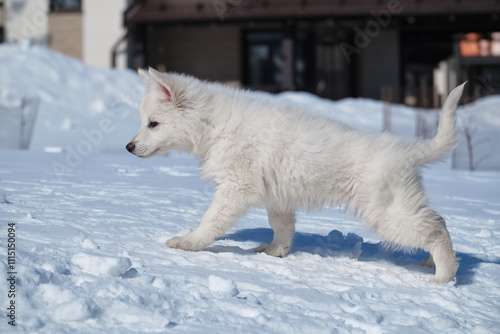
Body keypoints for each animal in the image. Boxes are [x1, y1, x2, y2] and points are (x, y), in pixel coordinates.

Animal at [127, 68, 462, 284]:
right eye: (144, 122)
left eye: (153, 123)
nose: (129, 147)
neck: (213, 125)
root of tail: (408, 153)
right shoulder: (277, 195)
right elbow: (282, 227)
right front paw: (275, 252)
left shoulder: (236, 187)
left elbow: (211, 220)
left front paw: (189, 242)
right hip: (399, 204)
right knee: (439, 220)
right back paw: (433, 264)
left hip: (386, 211)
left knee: (436, 230)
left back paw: (444, 276)